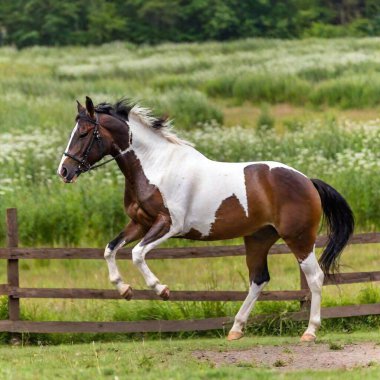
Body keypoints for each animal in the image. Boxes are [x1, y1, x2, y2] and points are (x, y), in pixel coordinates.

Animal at [58, 96, 354, 342]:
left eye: (84, 133)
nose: (64, 171)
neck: (156, 166)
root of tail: (307, 181)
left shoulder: (168, 225)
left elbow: (137, 254)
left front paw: (161, 290)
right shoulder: (139, 224)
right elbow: (110, 249)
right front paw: (124, 289)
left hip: (299, 238)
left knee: (314, 277)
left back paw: (310, 331)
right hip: (258, 238)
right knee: (259, 279)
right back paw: (236, 329)